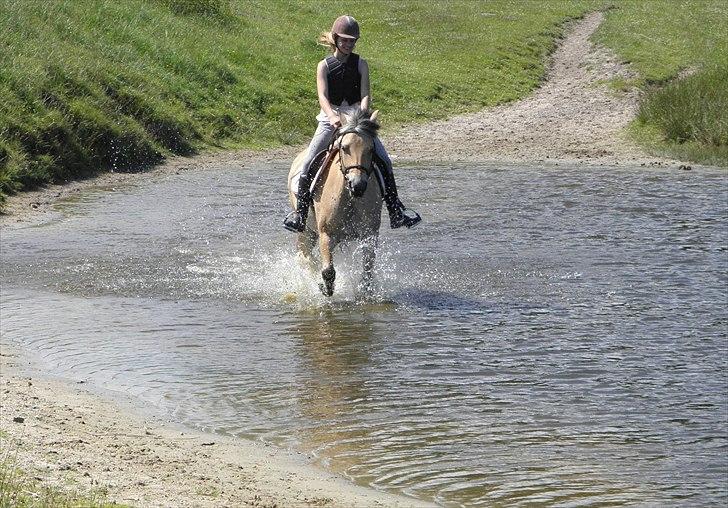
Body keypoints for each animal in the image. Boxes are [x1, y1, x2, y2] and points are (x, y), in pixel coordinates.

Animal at [288, 108, 384, 296]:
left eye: (371, 149)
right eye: (344, 148)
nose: (358, 185)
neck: (350, 198)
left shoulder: (369, 235)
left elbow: (367, 270)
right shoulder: (326, 234)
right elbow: (328, 271)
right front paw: (325, 289)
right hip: (306, 231)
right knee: (305, 257)